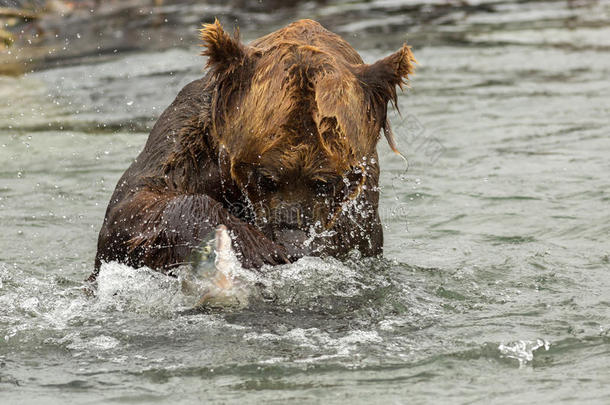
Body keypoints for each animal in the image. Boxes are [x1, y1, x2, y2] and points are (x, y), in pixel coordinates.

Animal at [88, 18, 416, 280]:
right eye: (266, 178)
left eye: (324, 183)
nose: (291, 239)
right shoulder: (186, 143)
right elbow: (133, 206)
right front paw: (259, 249)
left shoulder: (363, 205)